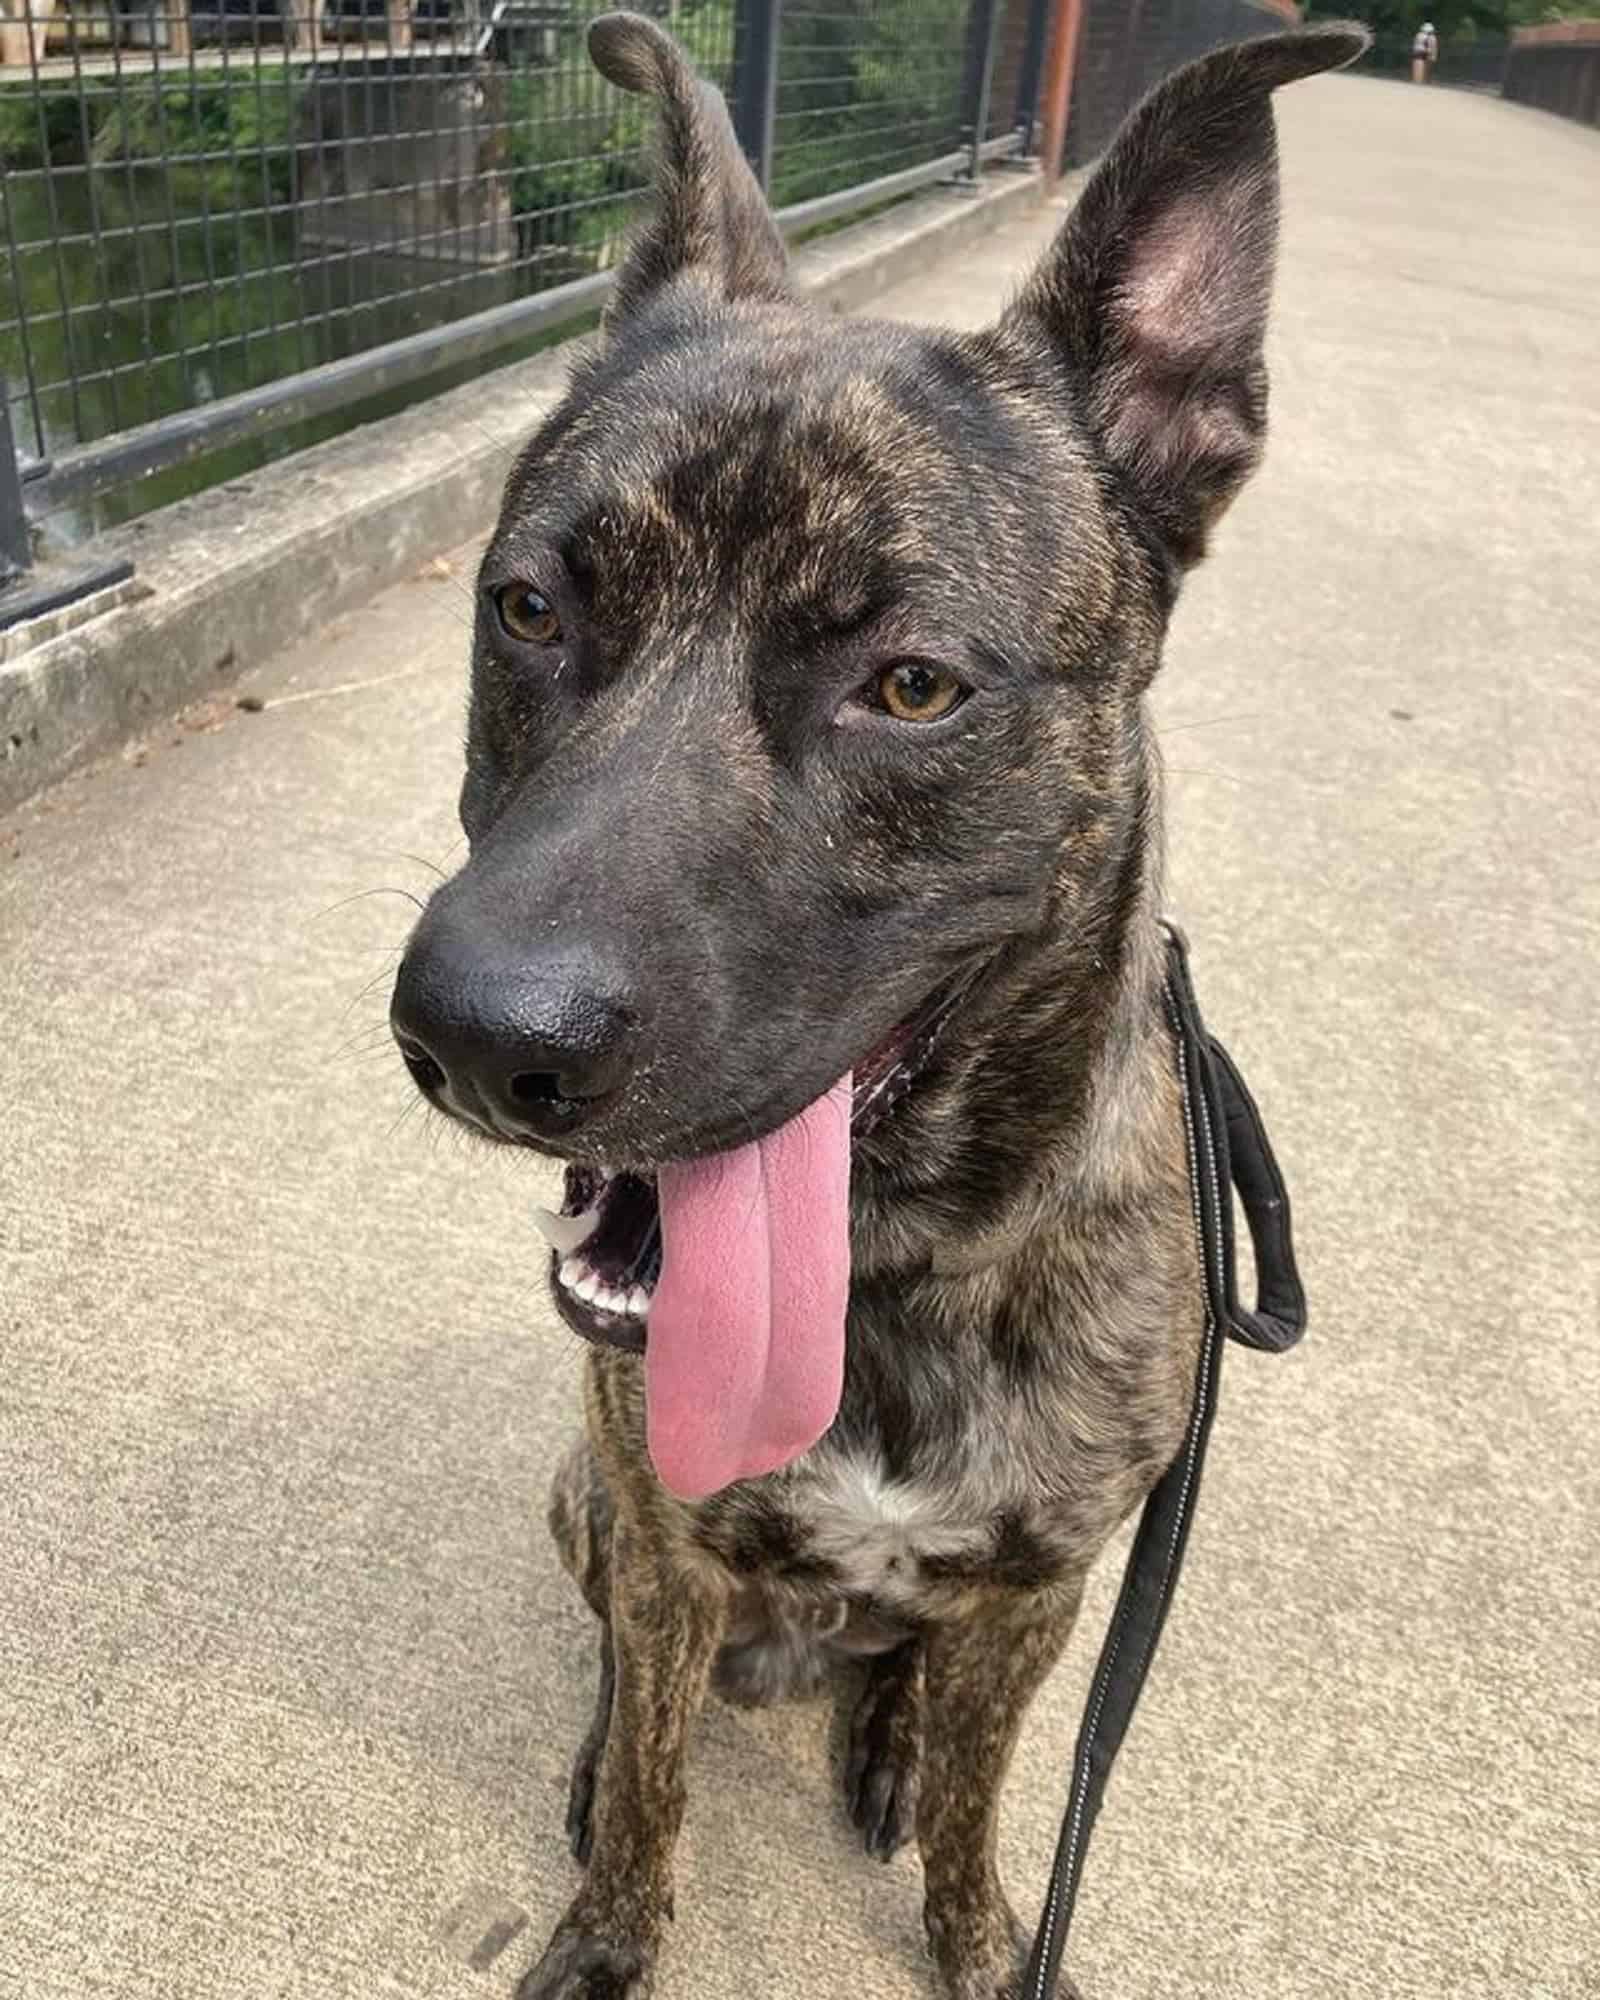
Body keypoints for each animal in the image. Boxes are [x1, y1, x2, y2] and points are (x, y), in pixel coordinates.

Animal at [390, 15, 1360, 2000]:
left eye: (909, 686)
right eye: (526, 608)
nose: (480, 1037)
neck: (898, 1278)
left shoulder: (1049, 1584)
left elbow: (991, 1819)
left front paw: (983, 1936)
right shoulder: (664, 1537)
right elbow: (653, 1790)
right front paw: (609, 1922)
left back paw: (892, 1738)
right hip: (586, 1498)